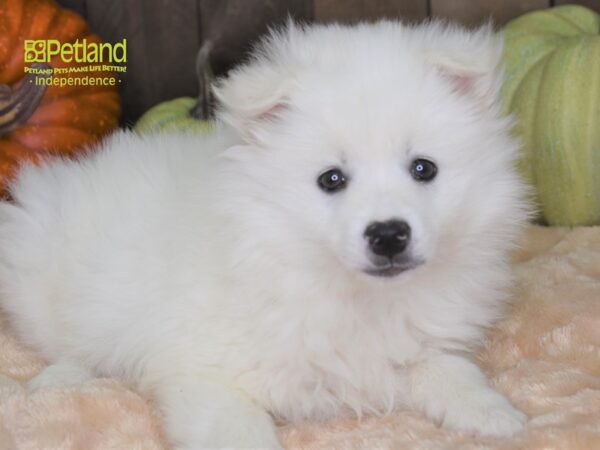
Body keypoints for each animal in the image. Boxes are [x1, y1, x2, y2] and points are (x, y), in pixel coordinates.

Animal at [0, 20, 528, 450]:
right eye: (331, 179)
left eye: (424, 169)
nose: (388, 235)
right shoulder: (203, 374)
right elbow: (239, 429)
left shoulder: (423, 344)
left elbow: (451, 369)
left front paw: (495, 415)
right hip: (45, 285)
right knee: (66, 345)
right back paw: (54, 382)